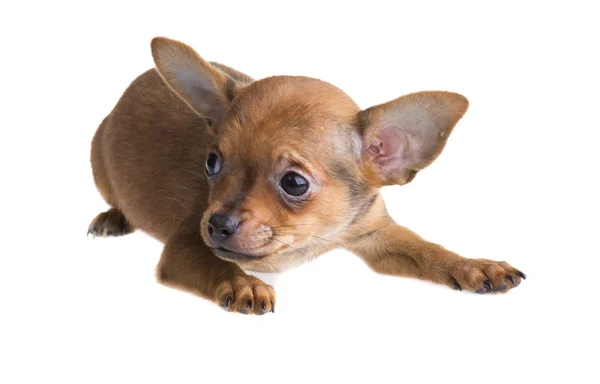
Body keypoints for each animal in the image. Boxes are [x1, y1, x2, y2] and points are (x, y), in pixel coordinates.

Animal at [88, 36, 524, 314]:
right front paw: (242, 282)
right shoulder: (186, 246)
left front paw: (471, 265)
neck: (307, 239)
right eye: (211, 163)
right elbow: (217, 264)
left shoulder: (377, 235)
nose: (217, 224)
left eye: (294, 183)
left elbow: (426, 250)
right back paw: (113, 217)